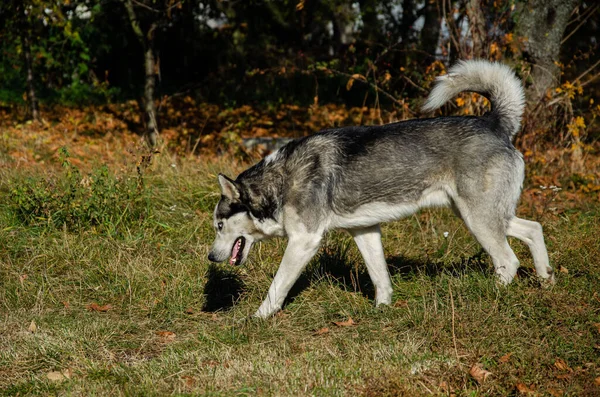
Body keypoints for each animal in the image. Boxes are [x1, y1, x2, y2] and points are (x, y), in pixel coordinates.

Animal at [207, 59, 552, 318]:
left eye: (219, 225)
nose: (210, 257)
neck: (281, 180)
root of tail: (494, 123)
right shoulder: (365, 231)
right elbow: (380, 277)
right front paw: (382, 310)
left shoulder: (304, 241)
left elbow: (277, 286)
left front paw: (258, 318)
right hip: (482, 215)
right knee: (533, 229)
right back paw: (547, 281)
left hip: (478, 220)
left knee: (508, 261)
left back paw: (492, 296)